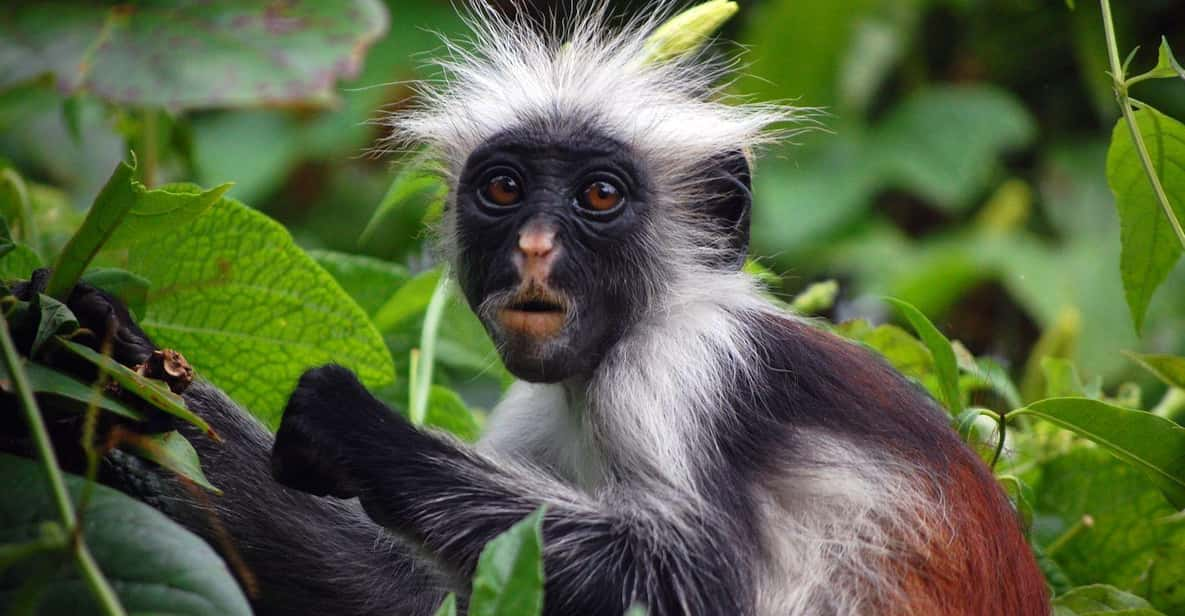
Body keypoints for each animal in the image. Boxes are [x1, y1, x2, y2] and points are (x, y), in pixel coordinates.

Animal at [57, 2, 1047, 611]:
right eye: (503, 188)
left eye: (599, 196)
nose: (534, 246)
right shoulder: (539, 403)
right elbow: (415, 594)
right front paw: (106, 366)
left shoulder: (686, 367)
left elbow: (696, 586)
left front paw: (354, 429)